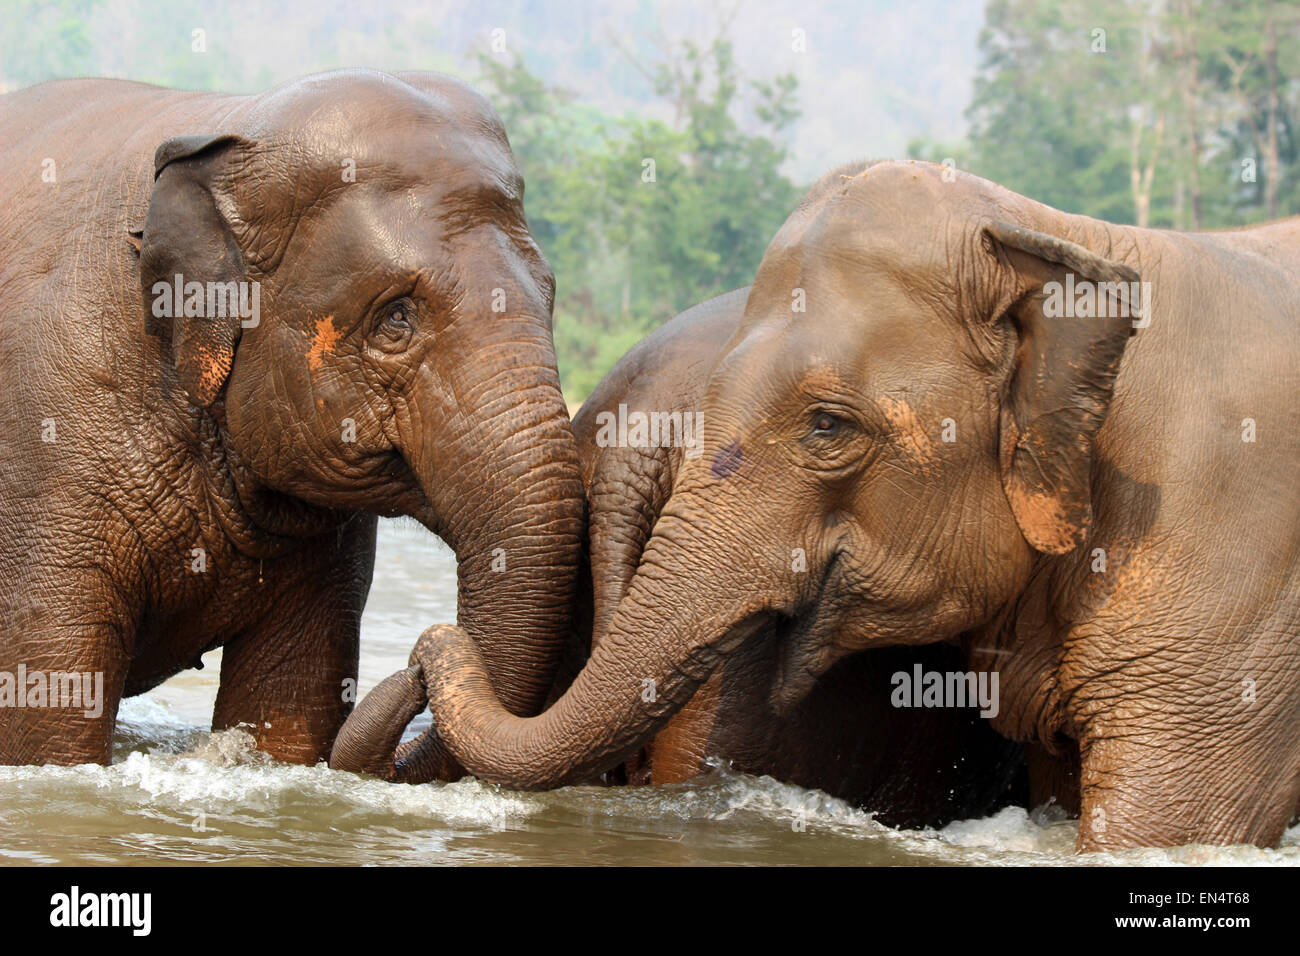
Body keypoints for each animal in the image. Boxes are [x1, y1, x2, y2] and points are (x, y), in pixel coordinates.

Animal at [0, 69, 585, 770]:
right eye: (397, 319)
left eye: (550, 297)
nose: (418, 665)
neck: (227, 117)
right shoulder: (47, 443)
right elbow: (48, 710)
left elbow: (291, 701)